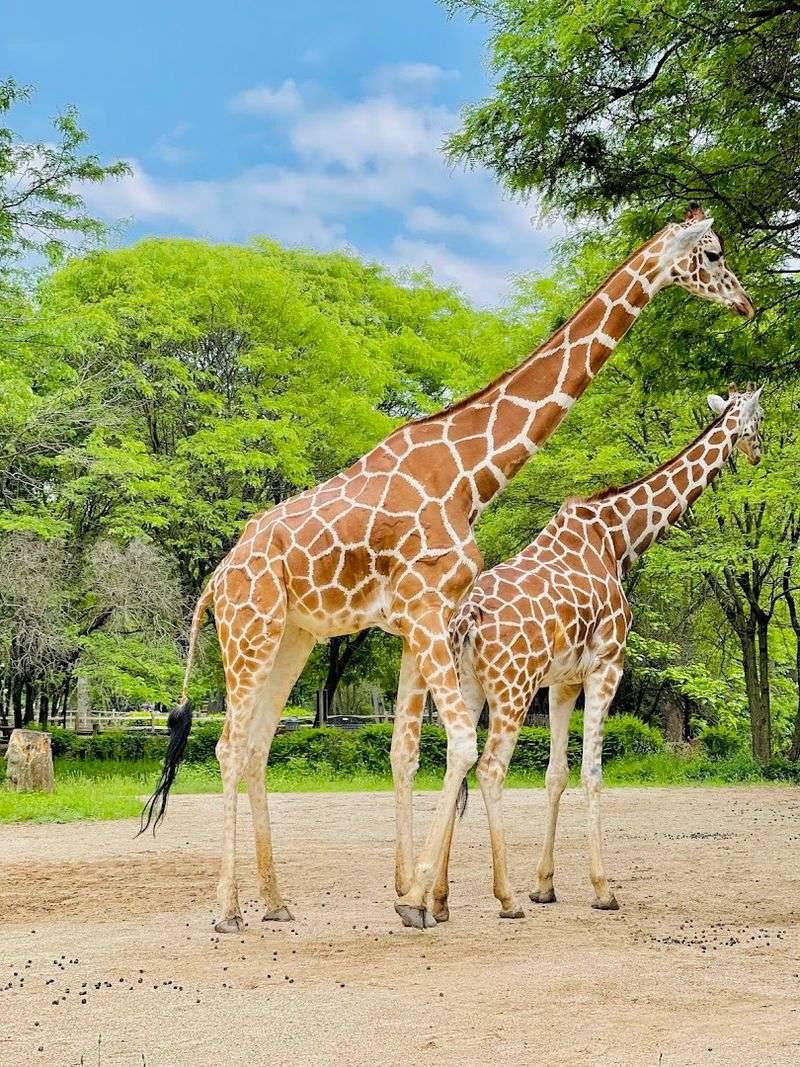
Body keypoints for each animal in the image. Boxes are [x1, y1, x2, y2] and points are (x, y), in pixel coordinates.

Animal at [446, 384, 764, 918]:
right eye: (759, 419)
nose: (759, 451)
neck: (619, 538)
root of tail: (465, 619)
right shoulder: (607, 665)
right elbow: (593, 773)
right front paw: (601, 889)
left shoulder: (563, 680)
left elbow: (556, 774)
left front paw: (545, 886)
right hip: (511, 689)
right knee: (489, 770)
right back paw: (504, 898)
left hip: (468, 686)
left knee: (456, 762)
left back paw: (431, 899)